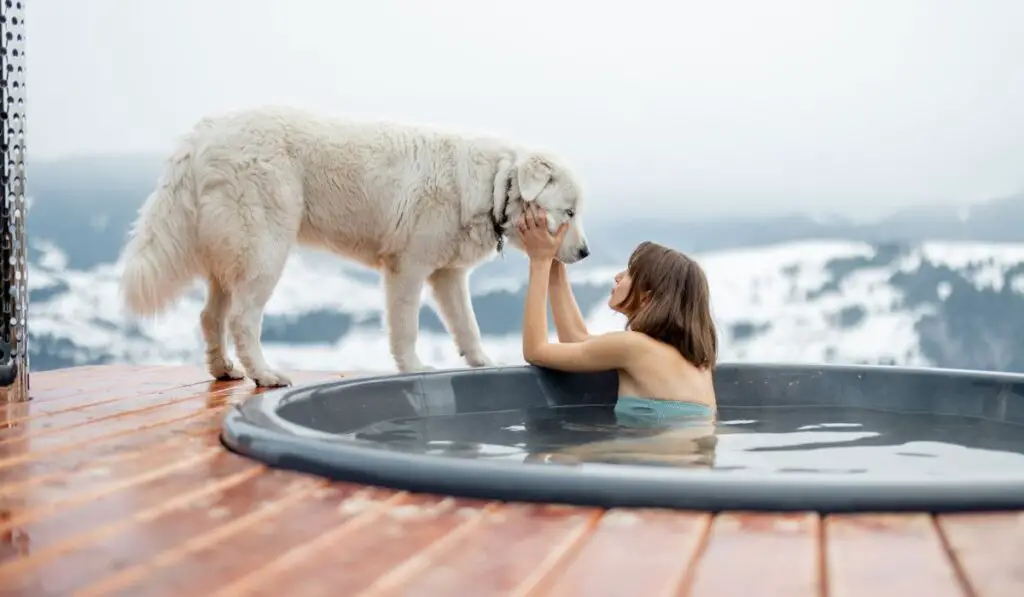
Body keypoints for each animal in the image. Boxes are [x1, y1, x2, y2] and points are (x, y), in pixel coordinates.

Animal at [117, 107, 593, 387]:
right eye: (569, 212)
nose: (586, 254)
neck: (495, 183)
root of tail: (200, 135)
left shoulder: (447, 276)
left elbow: (467, 327)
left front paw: (484, 364)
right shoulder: (408, 269)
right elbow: (406, 329)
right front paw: (414, 369)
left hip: (231, 258)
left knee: (209, 316)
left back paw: (224, 369)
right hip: (266, 251)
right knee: (241, 320)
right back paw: (265, 374)